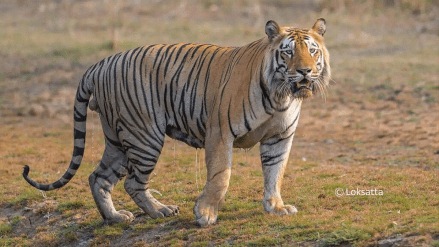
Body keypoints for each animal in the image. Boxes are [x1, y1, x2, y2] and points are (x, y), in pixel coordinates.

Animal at [21, 18, 330, 228]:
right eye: (287, 52)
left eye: (312, 51)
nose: (305, 71)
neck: (282, 95)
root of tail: (101, 63)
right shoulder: (220, 133)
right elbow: (221, 176)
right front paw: (205, 214)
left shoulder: (279, 138)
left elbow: (275, 173)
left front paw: (276, 207)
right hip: (144, 136)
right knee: (132, 182)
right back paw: (159, 211)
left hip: (119, 139)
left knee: (99, 177)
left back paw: (115, 217)